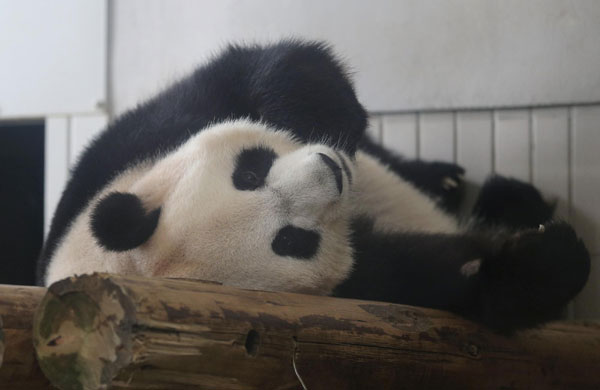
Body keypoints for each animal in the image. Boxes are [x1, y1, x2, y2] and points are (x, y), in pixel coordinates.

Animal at [38, 39, 592, 332]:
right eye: (291, 241)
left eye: (250, 173)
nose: (331, 168)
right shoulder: (357, 289)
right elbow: (445, 282)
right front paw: (549, 256)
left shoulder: (129, 149)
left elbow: (271, 69)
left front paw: (330, 118)